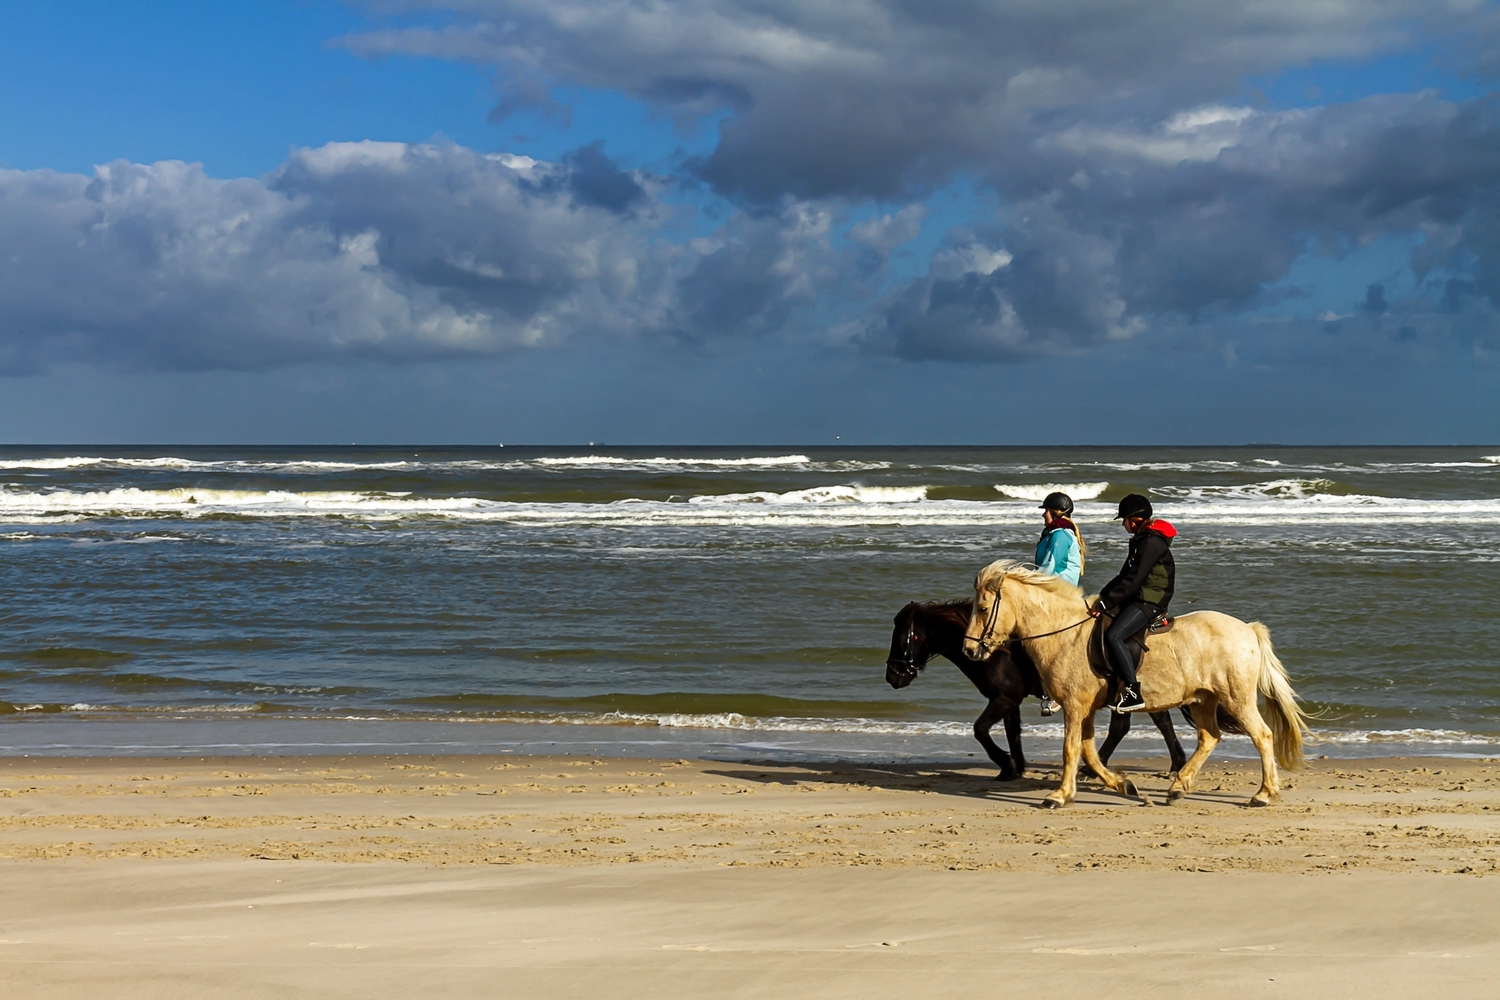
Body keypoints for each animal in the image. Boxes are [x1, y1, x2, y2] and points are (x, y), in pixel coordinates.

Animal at [882, 599, 1188, 779]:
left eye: (903, 637)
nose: (892, 677)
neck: (997, 651)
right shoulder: (1008, 700)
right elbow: (1012, 732)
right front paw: (1014, 768)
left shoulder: (1003, 698)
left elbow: (980, 729)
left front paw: (1006, 764)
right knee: (1160, 720)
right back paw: (1176, 764)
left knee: (1122, 727)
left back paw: (1093, 768)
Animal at [966, 560, 1308, 809]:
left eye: (982, 609)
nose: (969, 650)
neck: (1065, 632)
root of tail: (1248, 629)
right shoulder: (1086, 708)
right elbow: (1088, 751)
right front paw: (1123, 786)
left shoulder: (1075, 706)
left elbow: (1071, 749)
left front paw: (1058, 796)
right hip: (1201, 699)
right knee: (1209, 738)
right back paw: (1177, 788)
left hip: (1237, 698)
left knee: (1262, 736)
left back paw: (1263, 794)